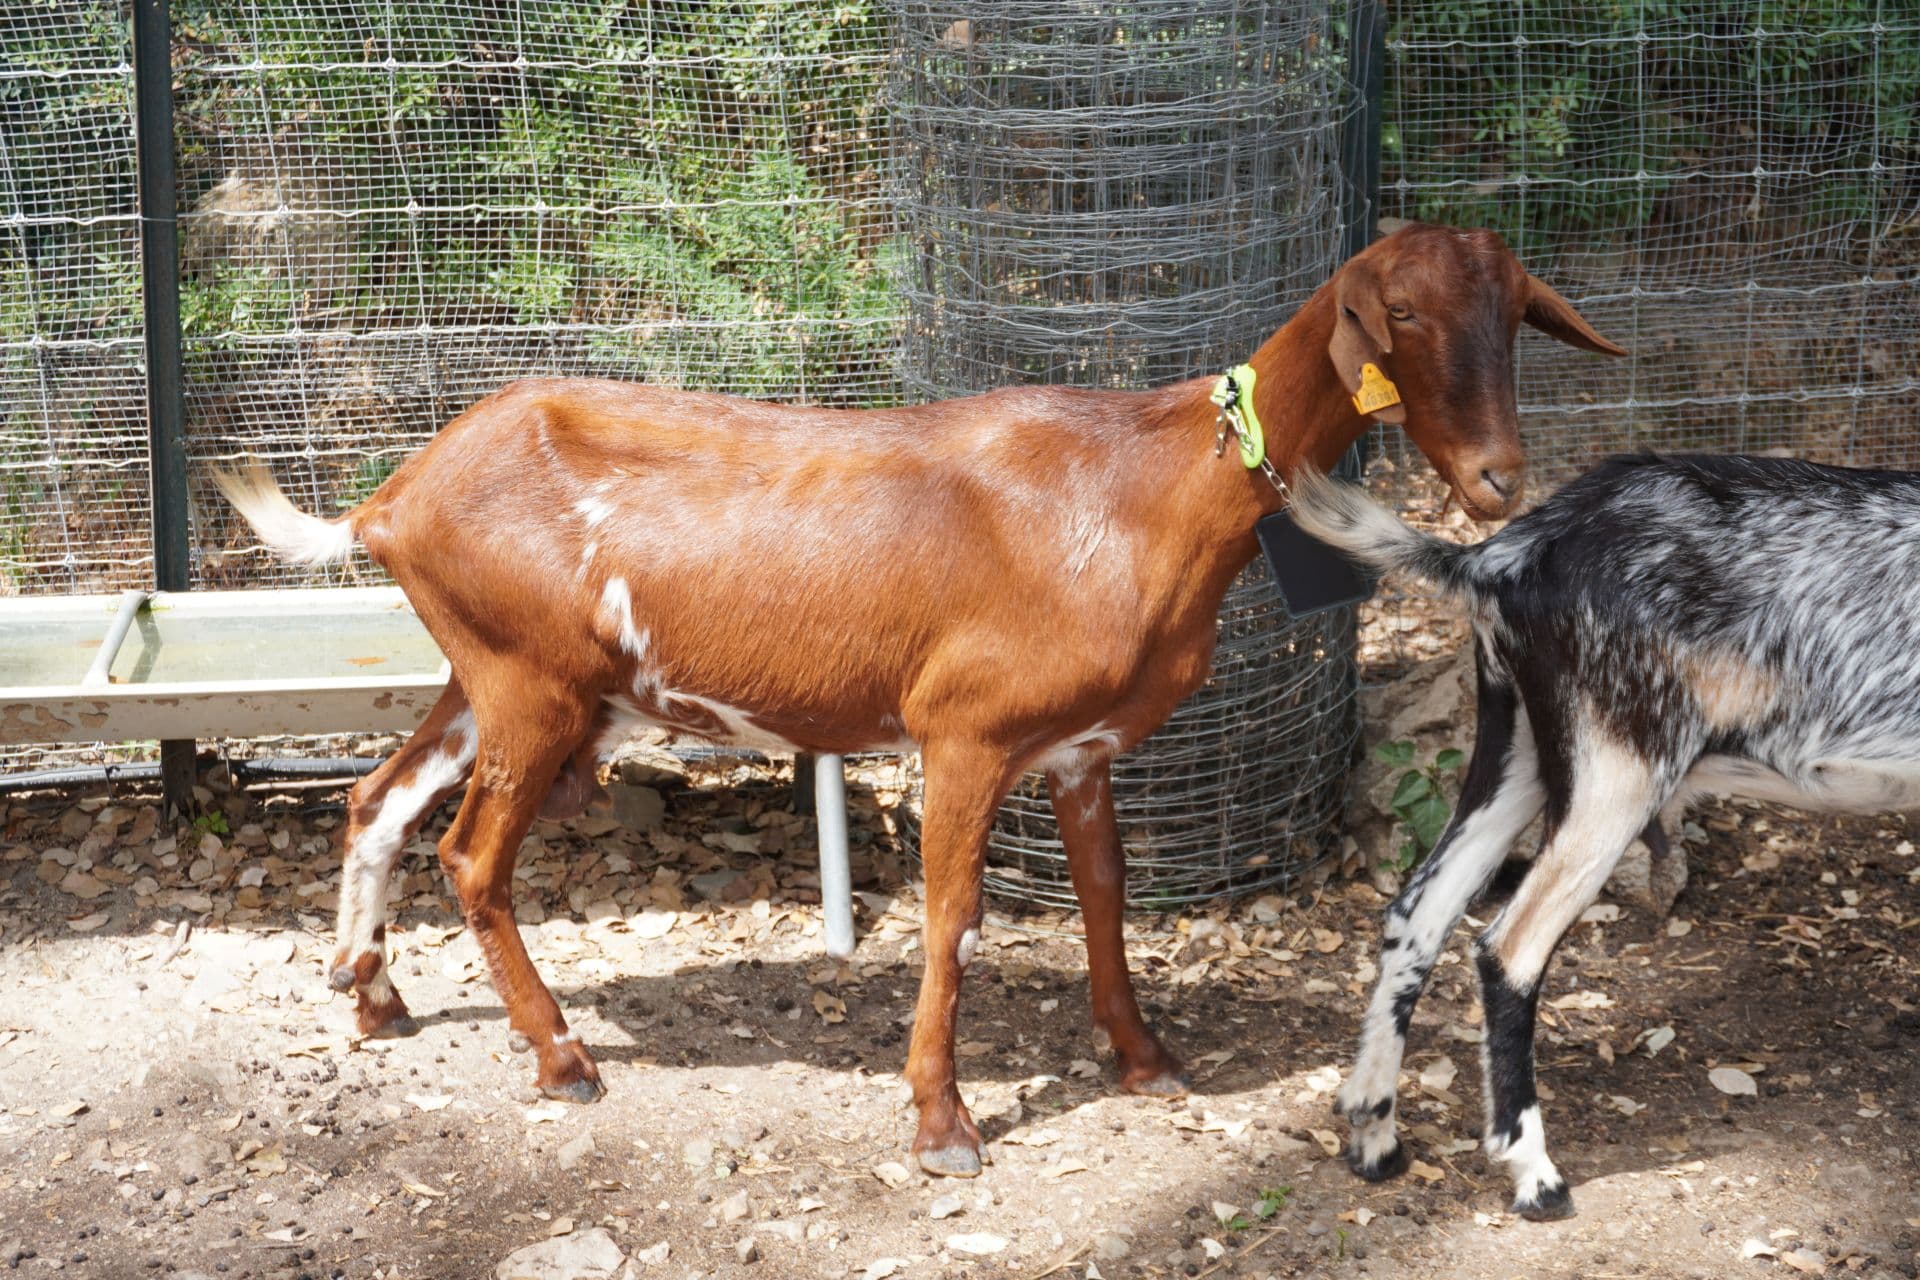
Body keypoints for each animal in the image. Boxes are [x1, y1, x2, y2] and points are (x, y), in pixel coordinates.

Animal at [215, 223, 1622, 1178]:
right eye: (1399, 315)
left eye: (1515, 312)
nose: (1497, 480)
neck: (1148, 487)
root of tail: (395, 497)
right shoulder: (965, 731)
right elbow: (952, 918)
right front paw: (943, 1120)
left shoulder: (1082, 748)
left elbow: (1105, 898)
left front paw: (1145, 1058)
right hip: (531, 686)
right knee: (469, 854)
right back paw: (562, 1057)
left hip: (491, 672)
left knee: (377, 797)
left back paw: (371, 992)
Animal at [1292, 453, 1920, 1219]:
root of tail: (1506, 556)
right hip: (1616, 770)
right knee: (1509, 947)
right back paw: (1534, 1173)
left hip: (1519, 748)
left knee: (1420, 911)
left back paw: (1375, 1133)